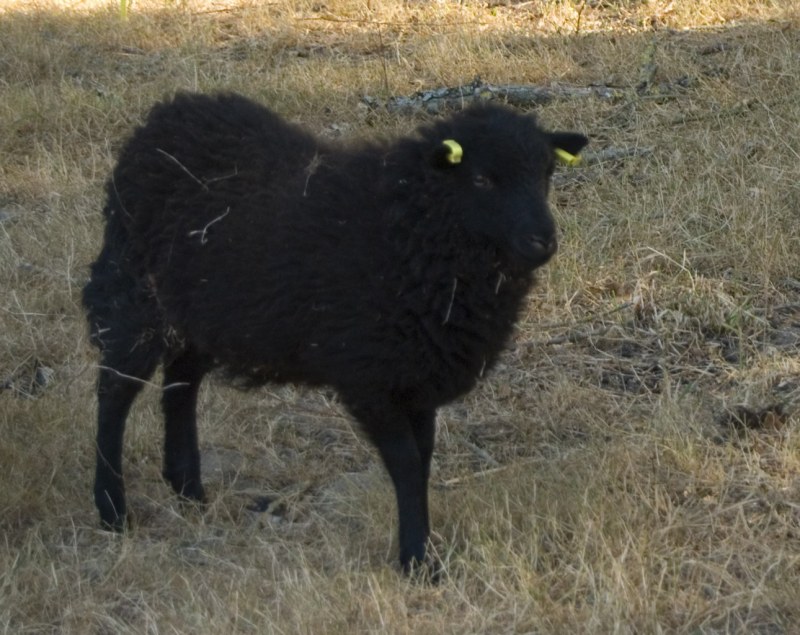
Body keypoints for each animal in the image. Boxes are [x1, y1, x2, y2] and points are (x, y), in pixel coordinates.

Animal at [83, 92, 588, 572]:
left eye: (546, 174)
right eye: (482, 179)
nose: (544, 240)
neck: (409, 230)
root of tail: (162, 117)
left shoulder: (415, 374)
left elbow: (423, 460)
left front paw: (422, 546)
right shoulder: (367, 375)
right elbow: (406, 464)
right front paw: (416, 560)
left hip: (200, 311)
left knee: (180, 386)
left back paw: (188, 489)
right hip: (134, 293)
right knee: (115, 393)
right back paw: (111, 509)